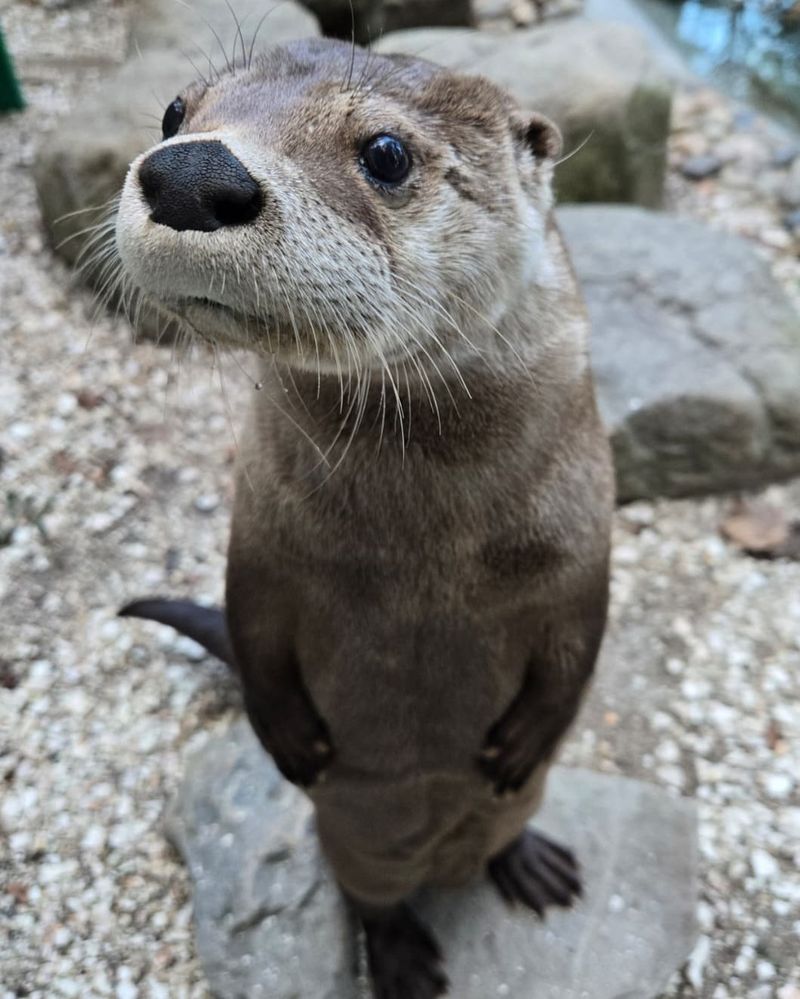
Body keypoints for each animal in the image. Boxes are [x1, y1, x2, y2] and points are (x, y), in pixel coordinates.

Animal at [114, 37, 614, 999]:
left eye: (385, 153)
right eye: (172, 113)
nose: (190, 171)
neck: (432, 537)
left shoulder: (586, 536)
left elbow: (581, 638)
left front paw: (529, 736)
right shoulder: (258, 530)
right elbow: (251, 619)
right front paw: (286, 735)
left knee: (501, 828)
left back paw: (524, 860)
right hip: (353, 834)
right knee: (369, 891)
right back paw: (402, 955)